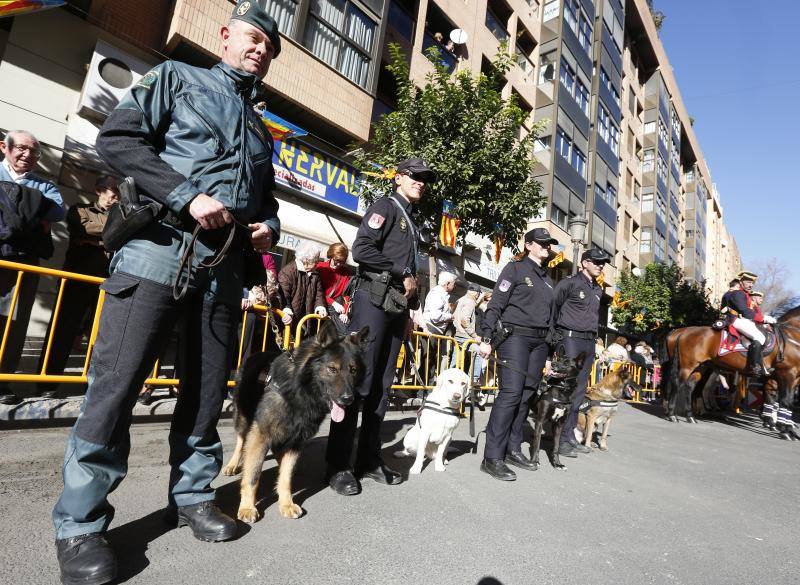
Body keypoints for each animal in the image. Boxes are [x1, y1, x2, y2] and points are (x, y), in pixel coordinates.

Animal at [220, 322, 368, 524]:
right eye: (332, 369)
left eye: (353, 370)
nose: (348, 399)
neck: (300, 391)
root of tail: (258, 352)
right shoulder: (261, 434)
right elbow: (253, 475)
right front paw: (248, 507)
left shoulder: (297, 441)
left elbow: (286, 476)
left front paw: (286, 504)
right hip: (244, 416)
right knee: (241, 440)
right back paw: (233, 464)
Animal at [664, 306, 800, 438]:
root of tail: (683, 331)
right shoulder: (787, 375)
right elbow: (785, 401)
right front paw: (784, 430)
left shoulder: (789, 378)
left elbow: (783, 401)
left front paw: (787, 428)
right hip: (687, 366)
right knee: (678, 385)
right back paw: (672, 414)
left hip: (701, 366)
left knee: (689, 387)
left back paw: (690, 416)